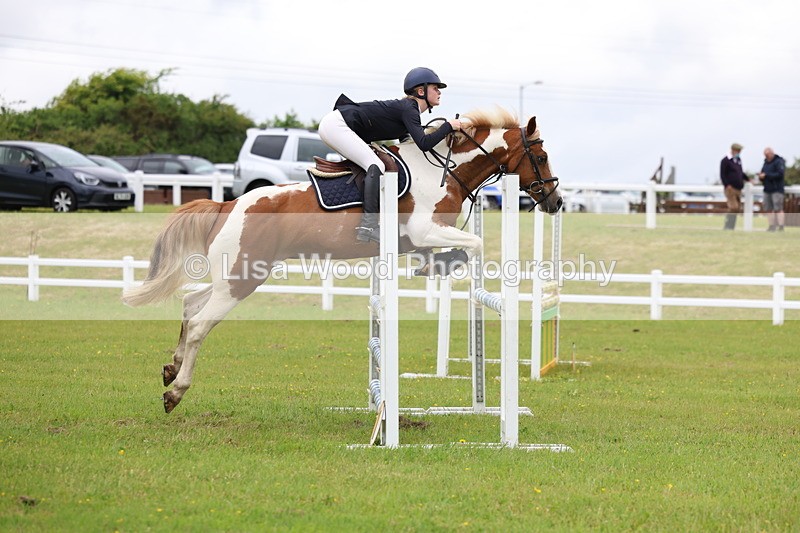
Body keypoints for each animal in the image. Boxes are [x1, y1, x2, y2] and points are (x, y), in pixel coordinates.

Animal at [122, 109, 562, 413]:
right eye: (540, 156)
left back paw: (172, 367)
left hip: (235, 274)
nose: (556, 202)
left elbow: (457, 248)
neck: (443, 171)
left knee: (190, 301)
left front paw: (436, 264)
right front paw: (442, 263)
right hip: (242, 278)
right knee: (200, 323)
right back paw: (175, 392)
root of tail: (227, 204)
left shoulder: (415, 239)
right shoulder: (424, 230)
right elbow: (472, 243)